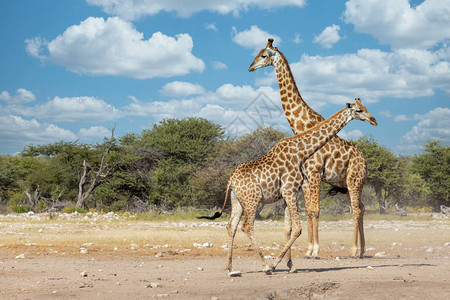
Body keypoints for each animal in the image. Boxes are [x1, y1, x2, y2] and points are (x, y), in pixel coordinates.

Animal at [203, 99, 376, 274]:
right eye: (359, 110)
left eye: (366, 108)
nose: (373, 120)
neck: (301, 153)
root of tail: (231, 180)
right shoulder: (290, 190)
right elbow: (298, 228)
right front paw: (276, 264)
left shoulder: (288, 194)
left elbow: (288, 229)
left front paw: (291, 265)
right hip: (252, 200)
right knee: (247, 226)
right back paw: (265, 266)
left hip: (237, 200)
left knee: (231, 226)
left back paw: (230, 266)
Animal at [248, 39, 370, 262]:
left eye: (263, 55)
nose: (250, 67)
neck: (301, 126)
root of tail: (364, 158)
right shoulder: (305, 177)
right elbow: (310, 211)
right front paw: (308, 250)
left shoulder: (314, 173)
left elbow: (315, 210)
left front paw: (315, 251)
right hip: (350, 183)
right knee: (362, 208)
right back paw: (363, 250)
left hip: (354, 179)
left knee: (356, 209)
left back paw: (354, 251)